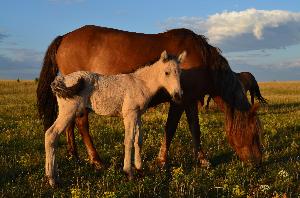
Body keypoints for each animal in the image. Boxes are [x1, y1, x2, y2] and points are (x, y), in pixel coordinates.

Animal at [37, 25, 262, 169]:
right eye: (254, 134)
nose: (258, 163)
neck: (200, 60)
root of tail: (64, 37)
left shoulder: (189, 100)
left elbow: (195, 129)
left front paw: (202, 160)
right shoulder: (179, 101)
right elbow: (170, 128)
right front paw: (162, 161)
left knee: (70, 125)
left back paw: (73, 155)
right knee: (82, 125)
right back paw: (96, 160)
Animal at [45, 51, 185, 187]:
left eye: (180, 72)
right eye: (166, 72)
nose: (178, 96)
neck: (140, 83)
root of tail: (62, 79)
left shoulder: (138, 115)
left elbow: (138, 140)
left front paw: (139, 169)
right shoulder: (130, 114)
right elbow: (128, 140)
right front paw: (129, 173)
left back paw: (54, 177)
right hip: (68, 112)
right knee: (51, 134)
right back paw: (52, 180)